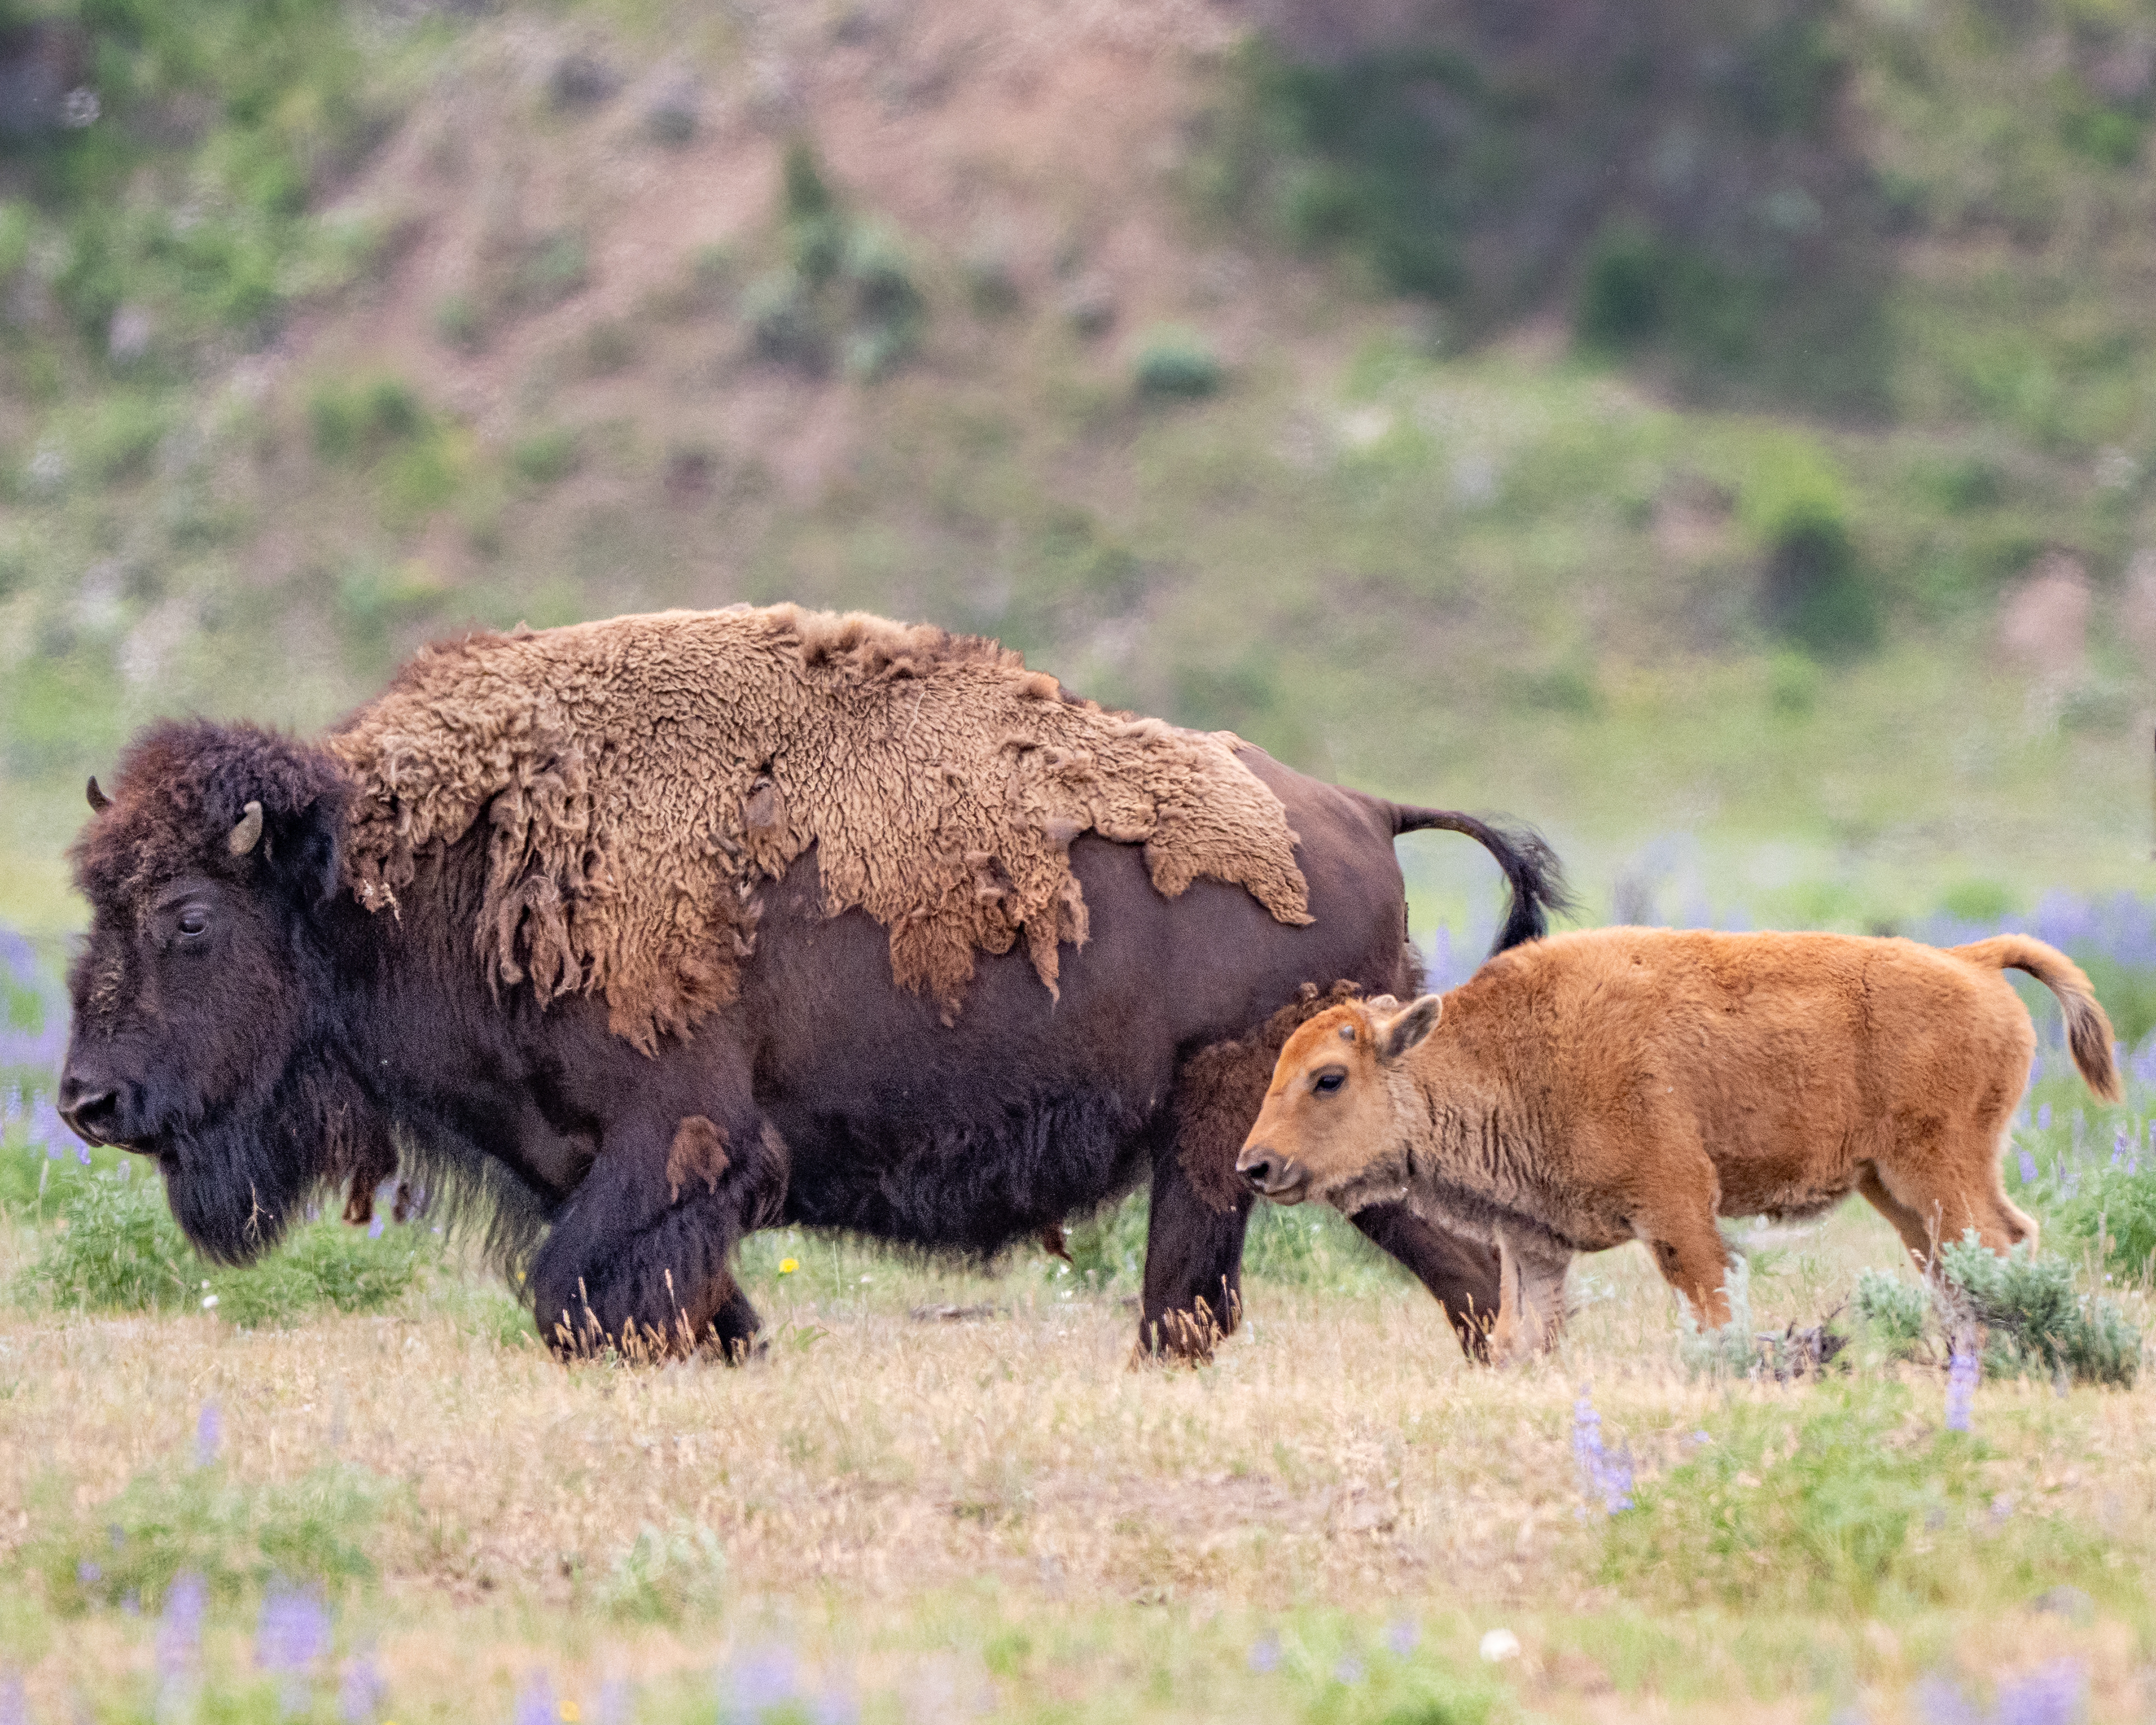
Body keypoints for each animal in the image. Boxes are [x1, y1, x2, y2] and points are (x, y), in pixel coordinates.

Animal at [56, 604, 1567, 1360]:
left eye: (188, 917)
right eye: (95, 898)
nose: (84, 1099)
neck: (423, 860)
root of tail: (1359, 810)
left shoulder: (675, 1137)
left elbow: (577, 1292)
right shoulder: (594, 1160)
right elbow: (674, 1299)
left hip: (1223, 1129)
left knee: (1191, 1295)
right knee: (1443, 1260)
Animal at [1235, 927, 2120, 1363]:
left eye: (1328, 1078)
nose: (1256, 1165)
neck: (1506, 1049)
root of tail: (1971, 960)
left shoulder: (1678, 1209)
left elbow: (1711, 1308)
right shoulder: (1533, 1240)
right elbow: (1525, 1335)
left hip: (1936, 1170)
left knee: (1996, 1246)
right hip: (1895, 1188)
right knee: (1960, 1261)